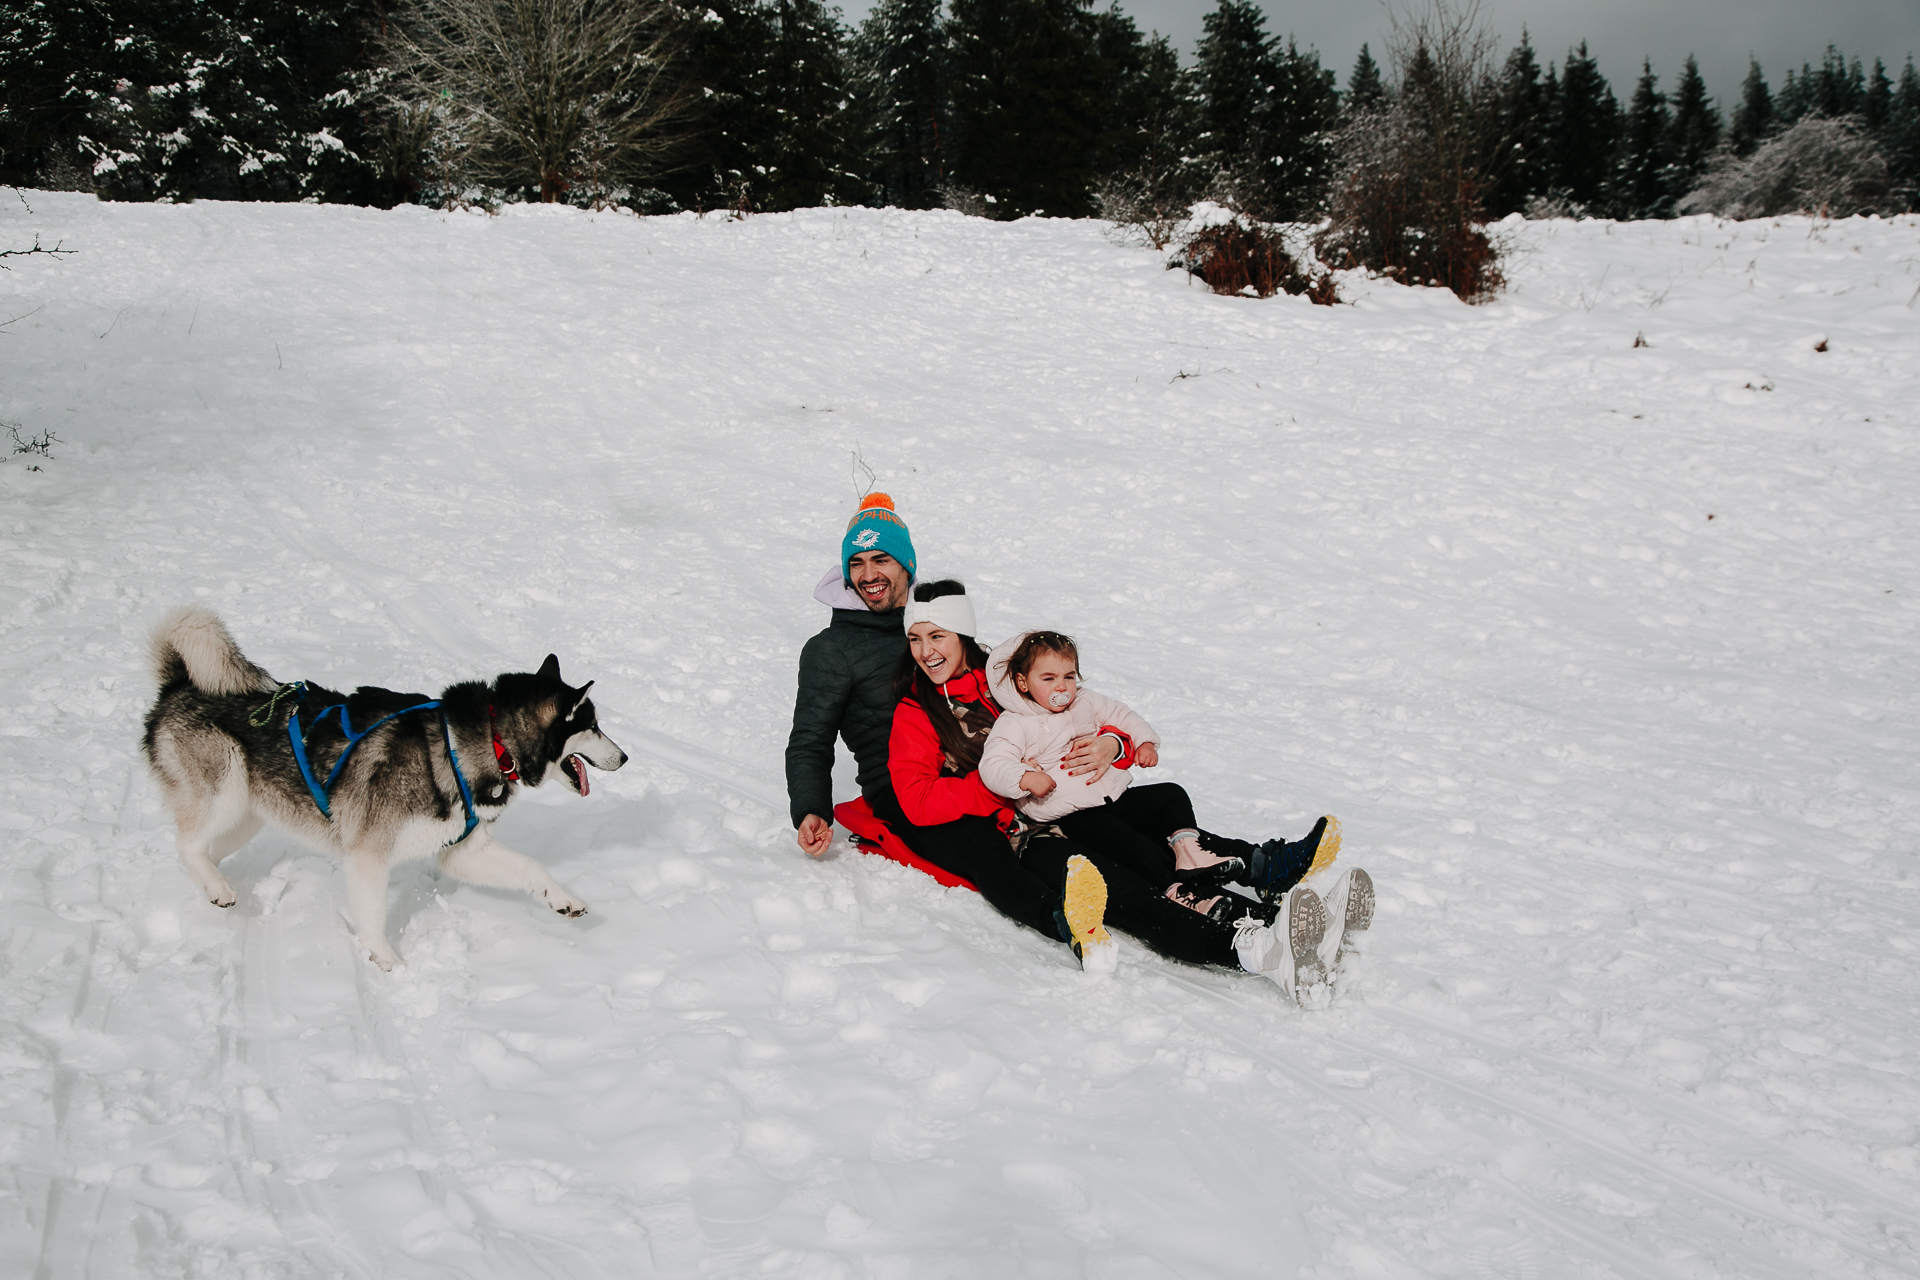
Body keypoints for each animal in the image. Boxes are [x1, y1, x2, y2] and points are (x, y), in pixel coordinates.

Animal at [147, 610, 637, 971]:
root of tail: (178, 684)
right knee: (185, 844)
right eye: (593, 725)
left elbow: (531, 868)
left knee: (203, 851)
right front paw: (388, 963)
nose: (626, 757)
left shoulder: (464, 850)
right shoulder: (369, 855)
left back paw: (214, 885)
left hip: (246, 815)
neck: (490, 740)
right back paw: (218, 887)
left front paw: (564, 900)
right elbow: (374, 916)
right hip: (225, 793)